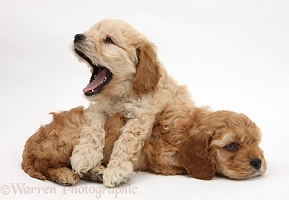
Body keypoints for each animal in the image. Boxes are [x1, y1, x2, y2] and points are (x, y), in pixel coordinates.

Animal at [21, 106, 266, 186]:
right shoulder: (162, 158)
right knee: (45, 165)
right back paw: (64, 175)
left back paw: (99, 172)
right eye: (231, 146)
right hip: (66, 141)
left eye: (255, 142)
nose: (258, 163)